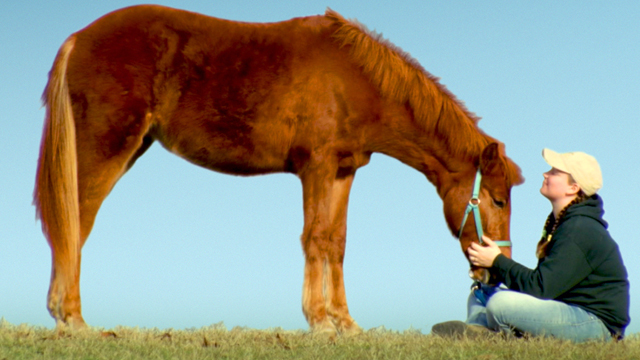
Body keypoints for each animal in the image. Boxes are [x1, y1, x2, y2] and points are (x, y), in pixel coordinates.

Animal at [35, 4, 524, 336]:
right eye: (498, 200)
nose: (492, 272)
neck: (355, 79)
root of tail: (79, 37)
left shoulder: (343, 172)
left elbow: (336, 242)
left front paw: (345, 322)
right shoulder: (316, 168)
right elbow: (314, 238)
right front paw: (320, 321)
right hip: (107, 148)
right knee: (74, 222)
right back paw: (73, 318)